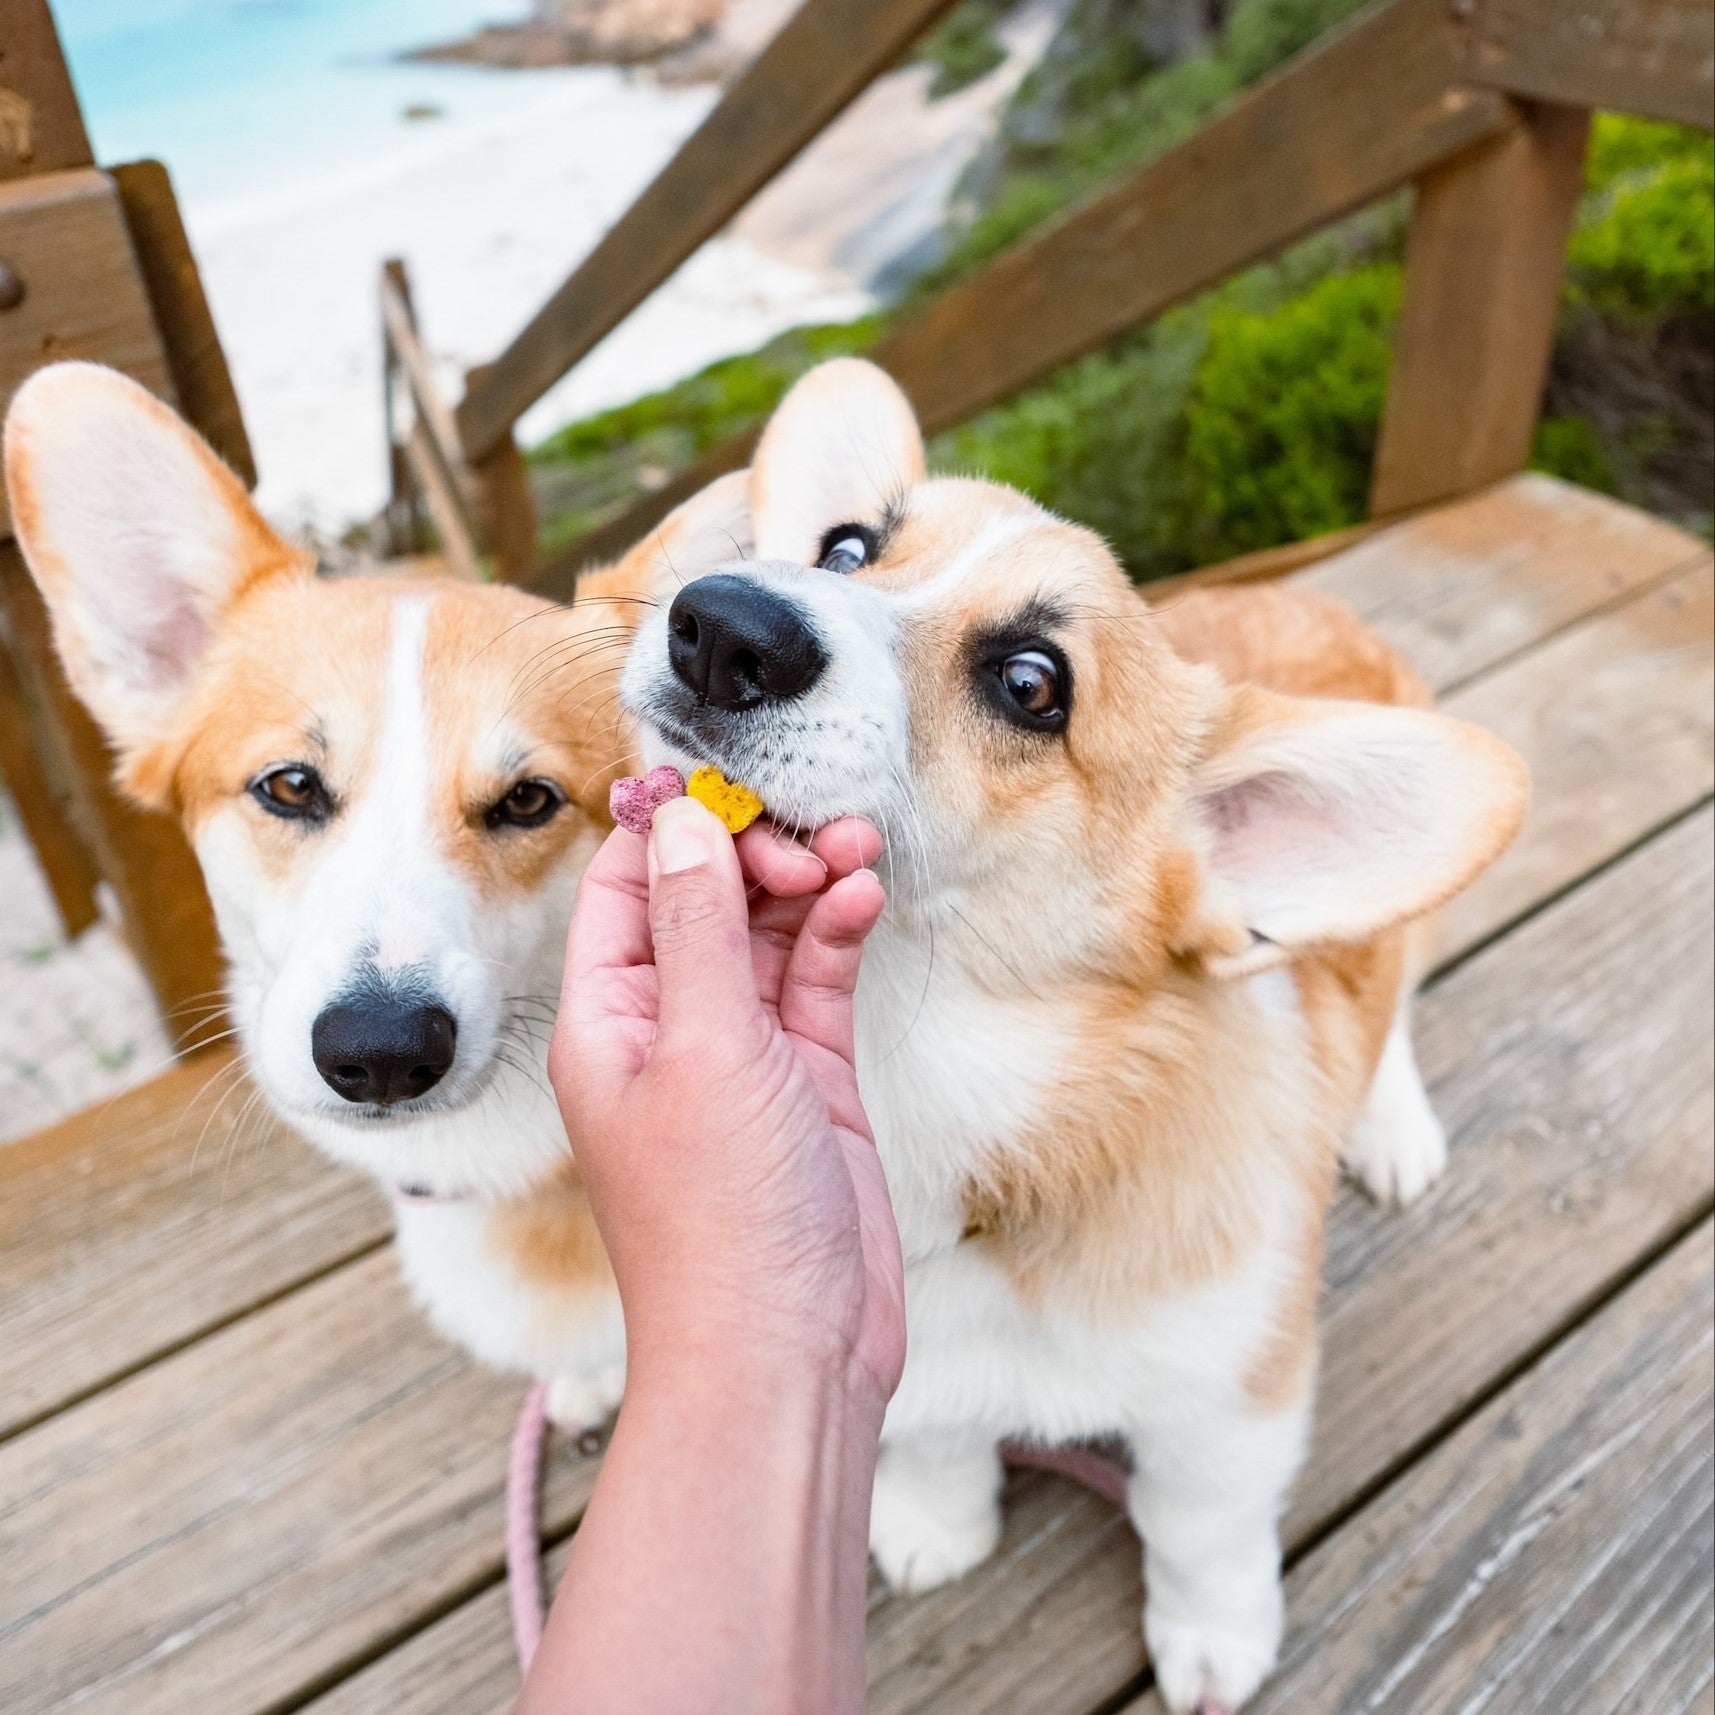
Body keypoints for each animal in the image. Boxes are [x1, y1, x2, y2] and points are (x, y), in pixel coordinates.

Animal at [620, 355, 1529, 1708]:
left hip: (1394, 945)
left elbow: (1199, 1527)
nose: (719, 620)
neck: (929, 1074)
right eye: (845, 548)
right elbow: (932, 1441)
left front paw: (1212, 1641)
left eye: (1031, 683)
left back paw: (1391, 1129)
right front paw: (933, 1524)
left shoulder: (1229, 1401)